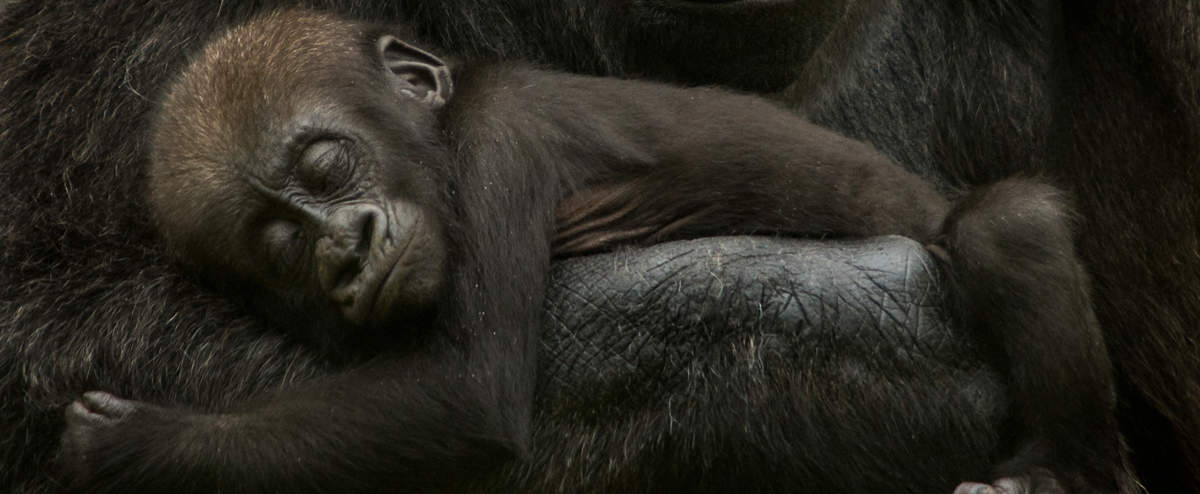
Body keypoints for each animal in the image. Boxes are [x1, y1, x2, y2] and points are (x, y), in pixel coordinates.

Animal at [0, 0, 1195, 493]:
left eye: (329, 167)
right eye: (276, 247)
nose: (345, 249)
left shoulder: (499, 142)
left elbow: (469, 390)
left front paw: (143, 442)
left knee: (1007, 229)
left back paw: (1066, 467)